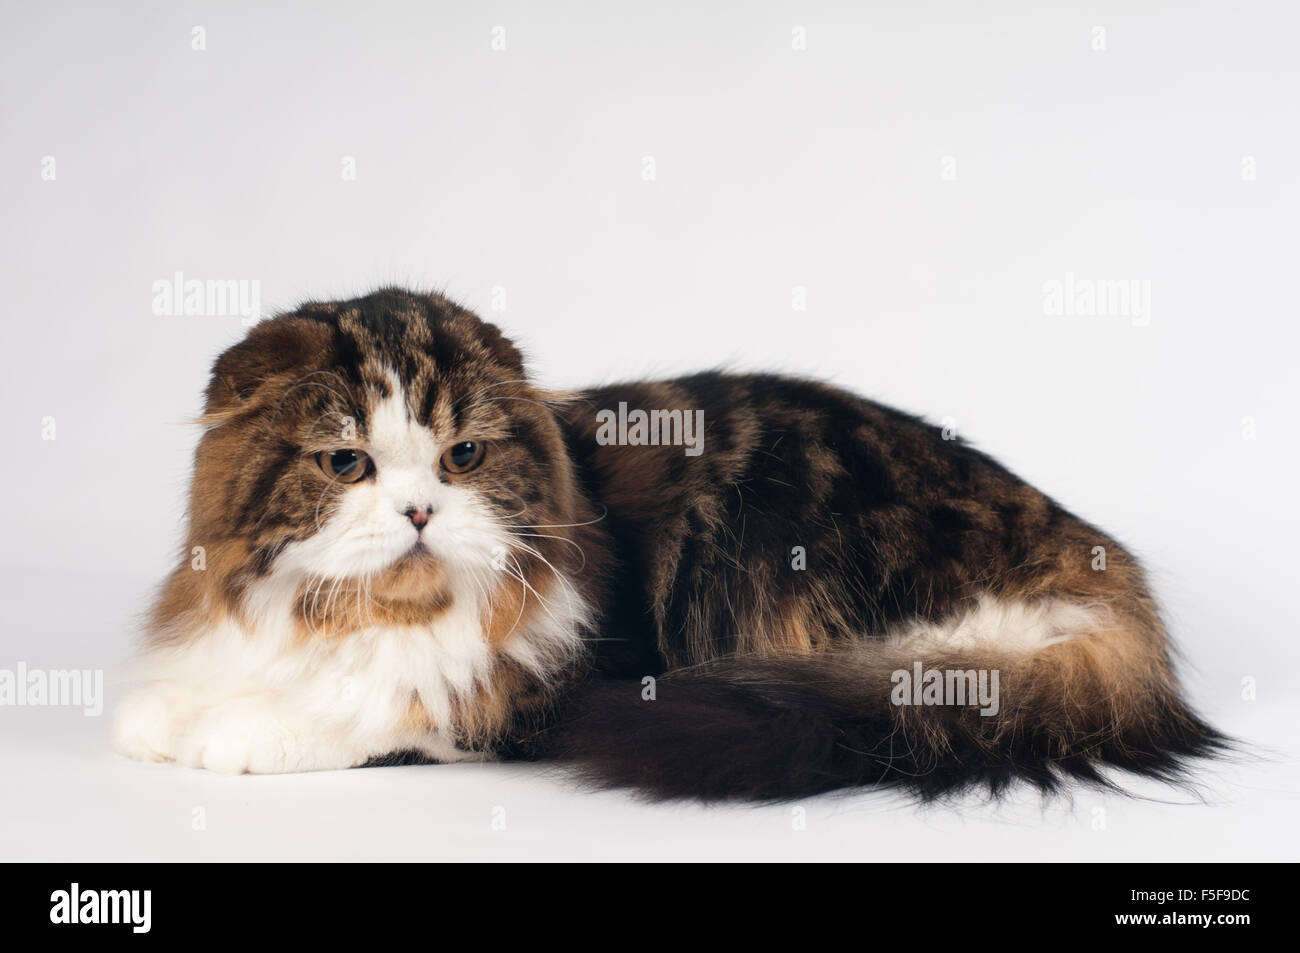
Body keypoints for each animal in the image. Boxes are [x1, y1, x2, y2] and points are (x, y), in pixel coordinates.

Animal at [116, 286, 1222, 800]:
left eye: (462, 455)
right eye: (347, 463)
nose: (421, 511)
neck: (356, 618)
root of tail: (1092, 558)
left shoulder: (532, 687)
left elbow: (388, 705)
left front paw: (242, 730)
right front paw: (161, 714)